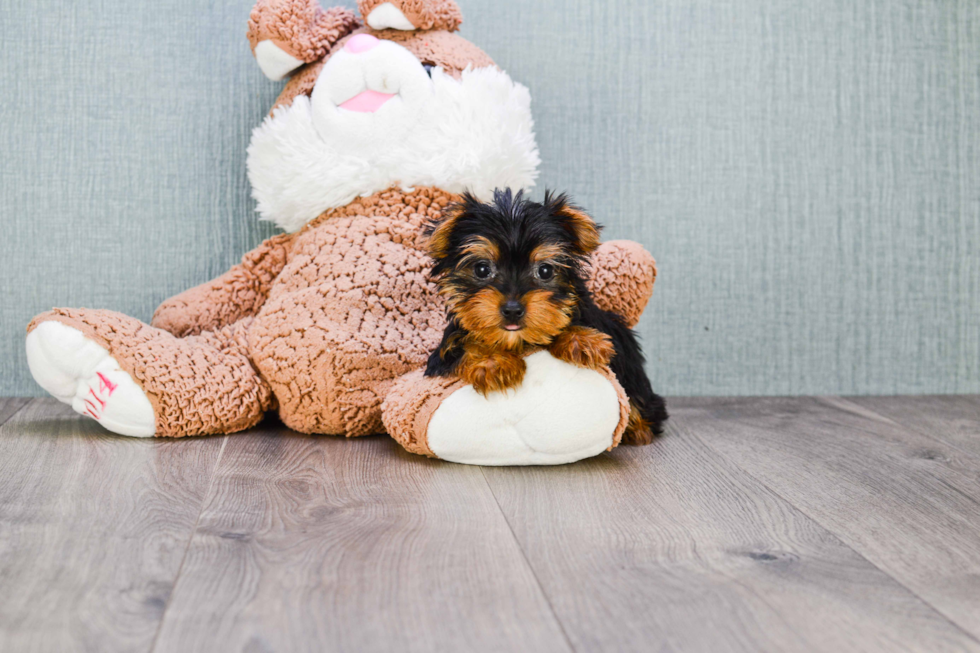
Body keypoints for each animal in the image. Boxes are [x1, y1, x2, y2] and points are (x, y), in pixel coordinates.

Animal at [422, 187, 668, 444]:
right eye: (481, 269)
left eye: (545, 270)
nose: (512, 309)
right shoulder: (443, 354)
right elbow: (465, 342)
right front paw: (493, 362)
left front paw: (582, 340)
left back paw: (636, 428)